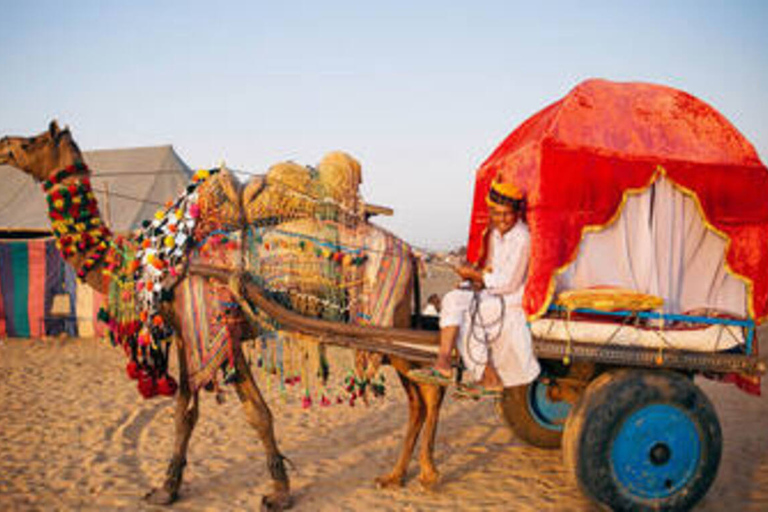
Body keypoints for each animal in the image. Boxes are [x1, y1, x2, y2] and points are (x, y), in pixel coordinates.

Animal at [0, 122, 448, 510]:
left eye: (33, 140)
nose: (4, 144)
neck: (151, 260)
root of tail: (412, 254)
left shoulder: (207, 324)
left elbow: (213, 412)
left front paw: (175, 490)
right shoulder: (198, 331)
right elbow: (222, 411)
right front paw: (264, 488)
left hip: (386, 324)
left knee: (429, 389)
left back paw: (425, 475)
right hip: (393, 325)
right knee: (421, 395)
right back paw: (395, 475)